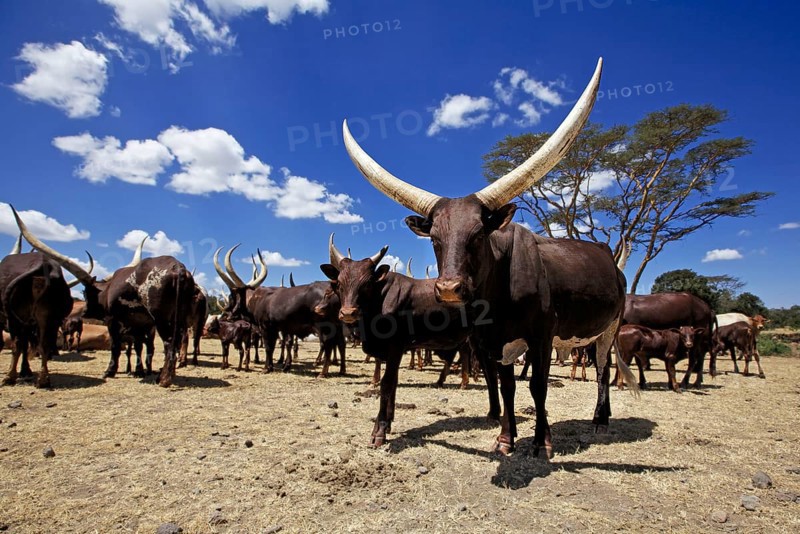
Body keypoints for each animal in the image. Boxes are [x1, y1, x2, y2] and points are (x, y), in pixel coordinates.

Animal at [14, 208, 196, 387]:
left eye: (86, 293)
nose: (84, 311)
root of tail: (178, 268)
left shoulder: (112, 320)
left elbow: (115, 346)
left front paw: (110, 371)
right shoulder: (138, 323)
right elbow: (137, 347)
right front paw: (138, 371)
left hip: (161, 319)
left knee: (169, 342)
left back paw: (164, 379)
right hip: (178, 318)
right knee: (175, 342)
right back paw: (165, 375)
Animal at [320, 235, 478, 446]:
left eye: (367, 284)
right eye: (338, 283)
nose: (347, 313)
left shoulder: (395, 347)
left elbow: (387, 383)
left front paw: (379, 431)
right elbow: (393, 381)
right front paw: (388, 423)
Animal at [340, 58, 637, 456]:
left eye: (480, 234)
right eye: (435, 239)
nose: (448, 288)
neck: (500, 297)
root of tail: (610, 260)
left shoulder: (541, 338)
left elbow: (537, 387)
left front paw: (541, 443)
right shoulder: (498, 342)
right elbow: (508, 387)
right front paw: (505, 438)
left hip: (609, 327)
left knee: (605, 368)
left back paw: (600, 420)